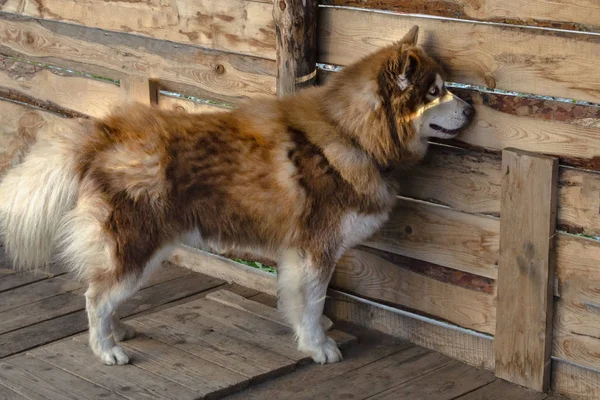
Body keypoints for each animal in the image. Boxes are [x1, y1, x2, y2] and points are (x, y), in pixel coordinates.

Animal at [0, 25, 474, 366]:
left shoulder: (296, 254)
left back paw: (118, 330)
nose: (471, 109)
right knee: (95, 296)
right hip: (137, 246)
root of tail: (107, 130)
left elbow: (299, 301)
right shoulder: (316, 249)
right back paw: (106, 349)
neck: (353, 133)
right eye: (435, 91)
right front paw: (319, 346)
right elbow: (314, 301)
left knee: (104, 293)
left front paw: (308, 335)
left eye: (446, 87)